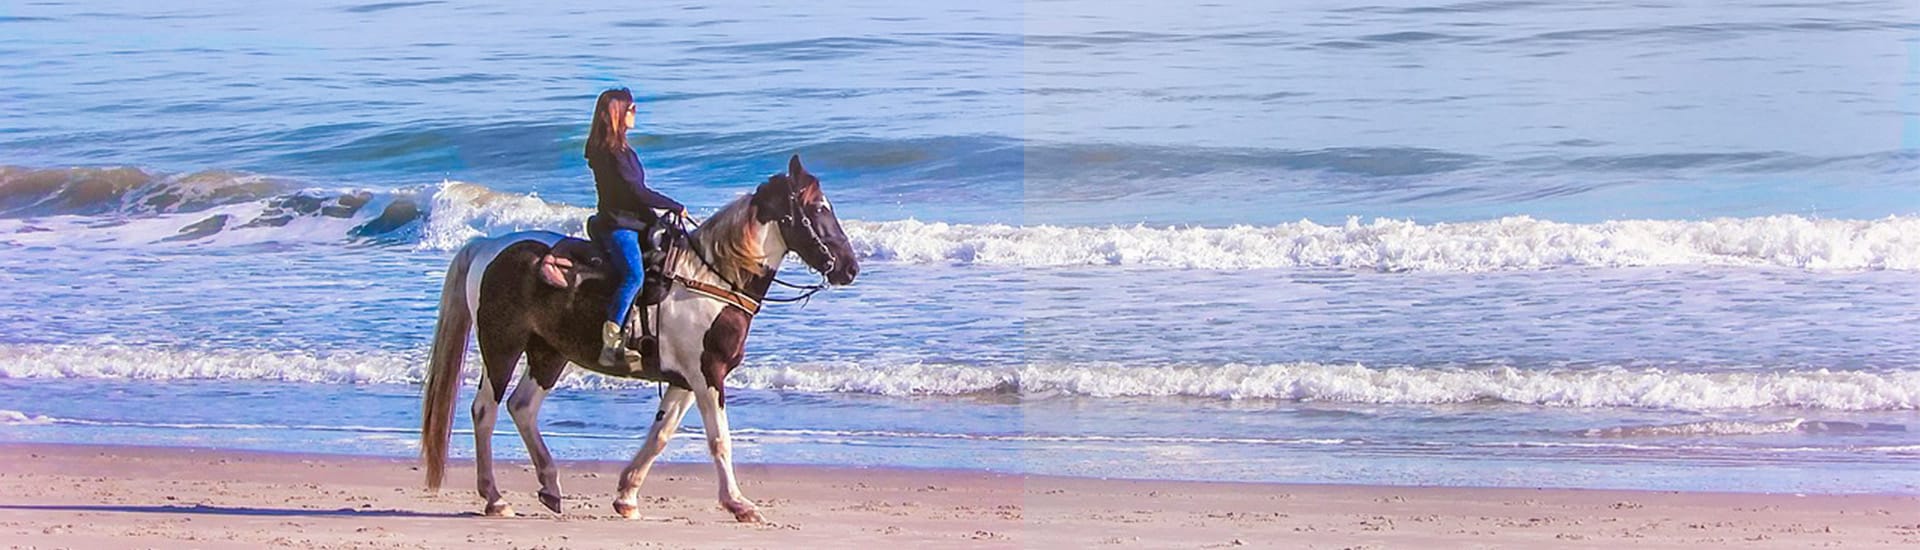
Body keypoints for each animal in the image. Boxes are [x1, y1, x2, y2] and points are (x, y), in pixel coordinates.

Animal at [426, 155, 864, 523]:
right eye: (819, 209)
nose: (849, 267)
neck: (712, 279)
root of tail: (488, 246)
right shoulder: (709, 374)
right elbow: (719, 439)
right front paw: (740, 504)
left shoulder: (685, 379)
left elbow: (661, 434)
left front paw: (626, 497)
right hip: (502, 345)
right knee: (485, 410)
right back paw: (495, 498)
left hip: (548, 352)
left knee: (522, 406)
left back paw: (549, 487)